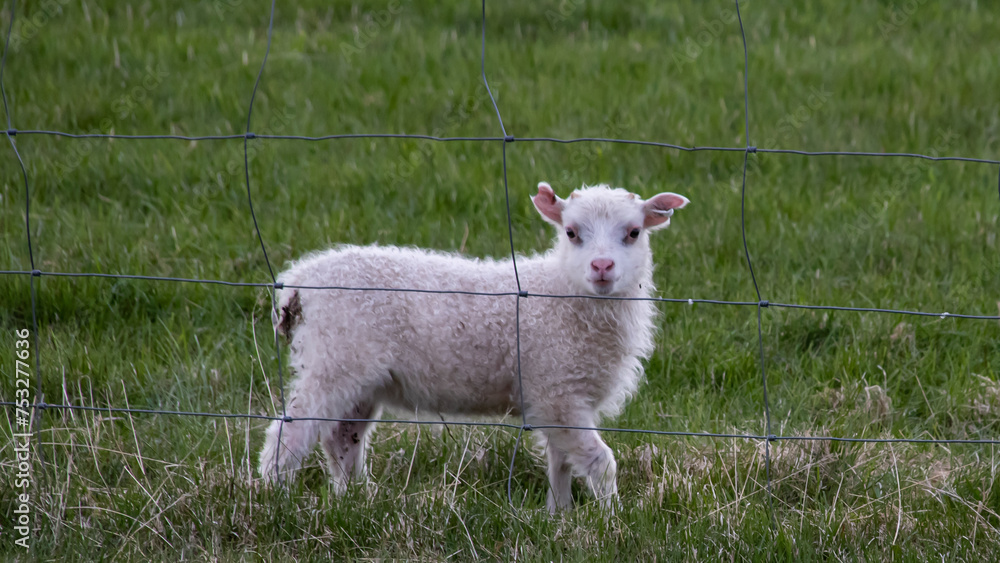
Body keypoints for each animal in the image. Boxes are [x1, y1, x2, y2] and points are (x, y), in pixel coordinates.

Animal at [259, 181, 689, 512]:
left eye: (633, 233)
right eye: (571, 232)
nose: (602, 267)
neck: (562, 294)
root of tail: (299, 282)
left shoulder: (556, 396)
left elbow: (561, 461)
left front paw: (560, 514)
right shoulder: (557, 391)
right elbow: (600, 461)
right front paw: (612, 519)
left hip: (358, 378)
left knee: (342, 437)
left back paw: (357, 497)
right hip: (334, 362)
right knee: (292, 430)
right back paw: (271, 495)